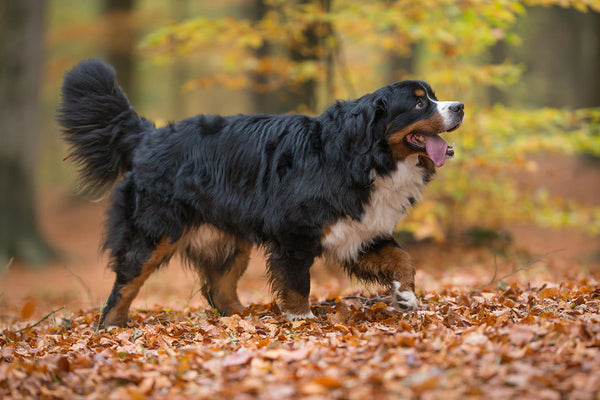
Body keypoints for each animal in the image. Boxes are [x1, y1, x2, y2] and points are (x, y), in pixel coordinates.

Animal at [57, 57, 464, 326]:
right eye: (418, 102)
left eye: (433, 96)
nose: (460, 106)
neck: (363, 155)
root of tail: (148, 135)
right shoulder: (295, 233)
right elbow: (298, 283)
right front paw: (301, 321)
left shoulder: (361, 230)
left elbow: (403, 259)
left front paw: (405, 295)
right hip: (155, 231)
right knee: (125, 284)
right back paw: (111, 326)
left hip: (230, 240)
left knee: (219, 289)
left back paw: (245, 318)